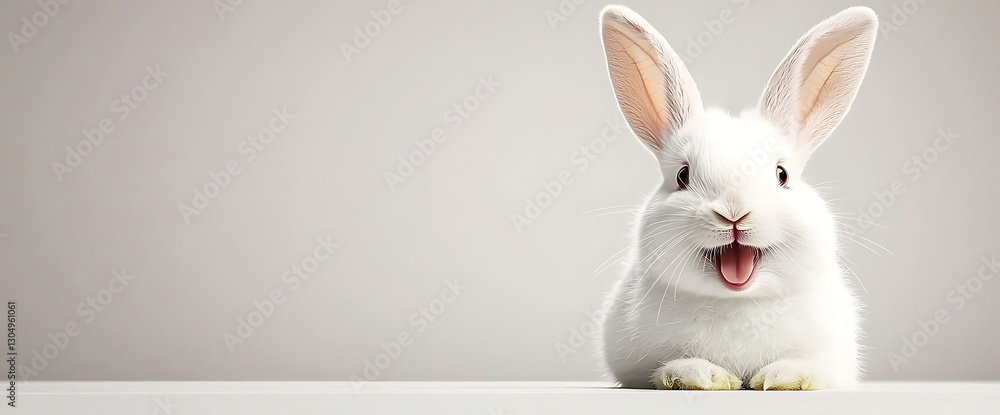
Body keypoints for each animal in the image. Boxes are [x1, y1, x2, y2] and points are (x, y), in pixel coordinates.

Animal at [596, 5, 878, 390]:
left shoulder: (833, 358)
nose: (733, 213)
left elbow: (811, 368)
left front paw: (781, 377)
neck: (739, 301)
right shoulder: (631, 366)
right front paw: (700, 375)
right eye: (683, 176)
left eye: (782, 175)